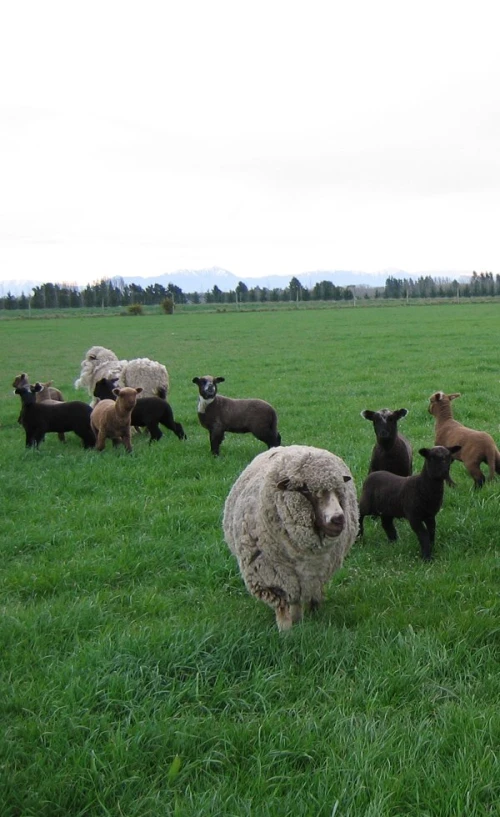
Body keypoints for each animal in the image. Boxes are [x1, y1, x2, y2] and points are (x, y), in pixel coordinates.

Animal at [224, 446, 360, 632]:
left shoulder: (316, 574)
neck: (301, 553)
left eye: (339, 491)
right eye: (305, 489)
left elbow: (313, 596)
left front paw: (314, 617)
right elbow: (282, 606)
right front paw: (286, 631)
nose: (338, 519)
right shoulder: (270, 577)